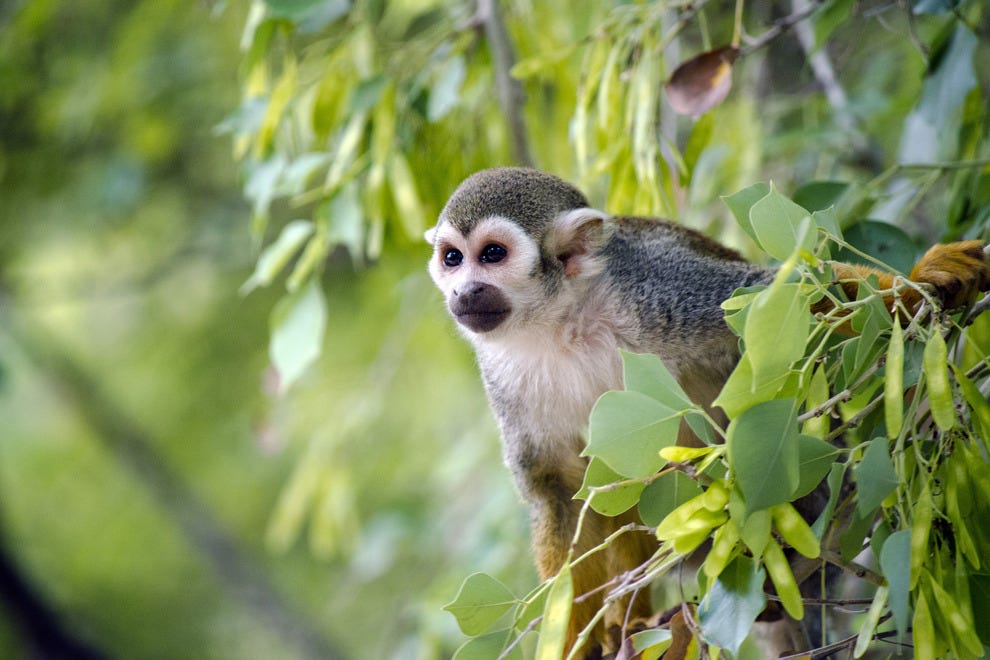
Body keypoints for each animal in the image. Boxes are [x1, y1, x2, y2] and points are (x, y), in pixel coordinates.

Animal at [424, 167, 990, 658]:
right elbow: (560, 491)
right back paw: (635, 623)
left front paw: (927, 275)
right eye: (453, 258)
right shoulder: (502, 376)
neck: (561, 320)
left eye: (492, 254)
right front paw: (572, 643)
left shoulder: (655, 290)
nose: (464, 291)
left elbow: (774, 300)